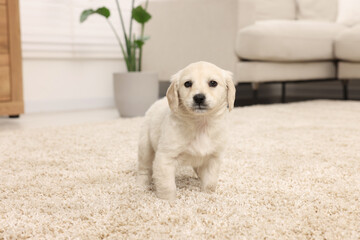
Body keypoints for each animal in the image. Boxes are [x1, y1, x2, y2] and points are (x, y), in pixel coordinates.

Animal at [136, 61, 235, 200]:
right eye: (187, 83)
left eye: (213, 83)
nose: (199, 97)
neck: (200, 124)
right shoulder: (165, 157)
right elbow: (167, 185)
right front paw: (168, 201)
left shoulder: (213, 158)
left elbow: (210, 182)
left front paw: (207, 195)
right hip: (145, 147)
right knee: (144, 169)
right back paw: (141, 185)